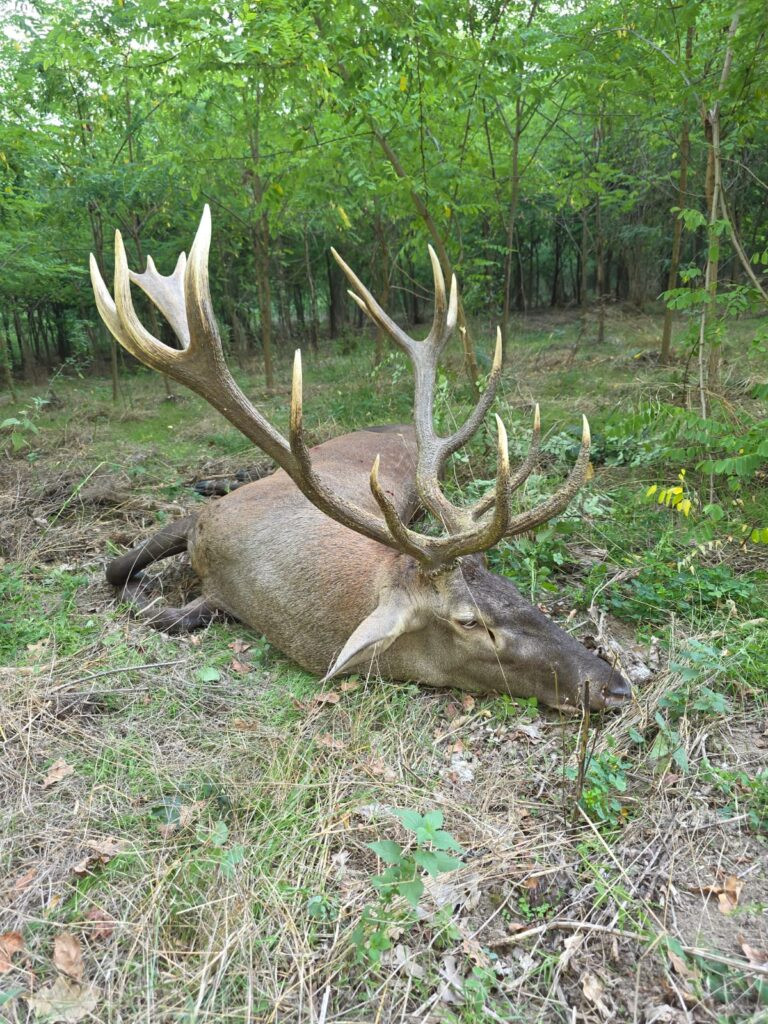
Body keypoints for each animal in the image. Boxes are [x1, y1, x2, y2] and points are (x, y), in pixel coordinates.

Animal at [89, 207, 632, 712]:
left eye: (513, 587)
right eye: (470, 621)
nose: (614, 685)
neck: (250, 585)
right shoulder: (200, 521)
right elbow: (121, 575)